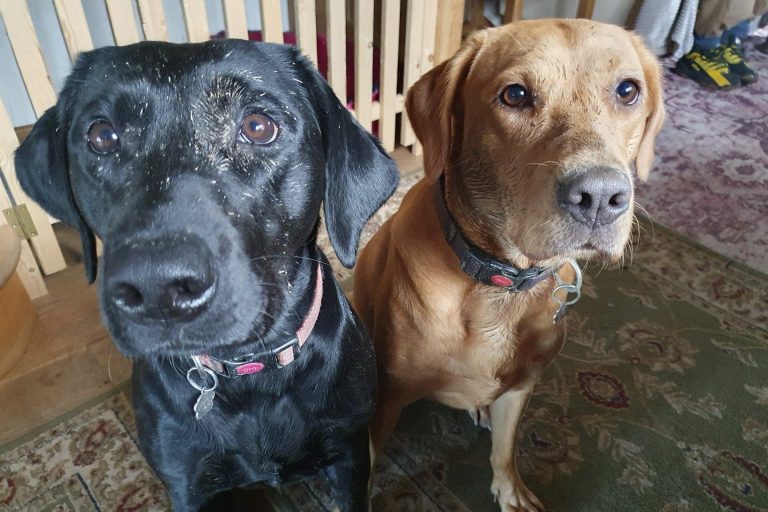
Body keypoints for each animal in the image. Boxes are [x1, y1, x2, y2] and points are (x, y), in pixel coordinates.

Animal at [15, 41, 400, 512]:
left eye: (258, 126)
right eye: (102, 136)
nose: (158, 288)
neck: (252, 370)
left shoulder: (349, 454)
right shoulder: (186, 481)